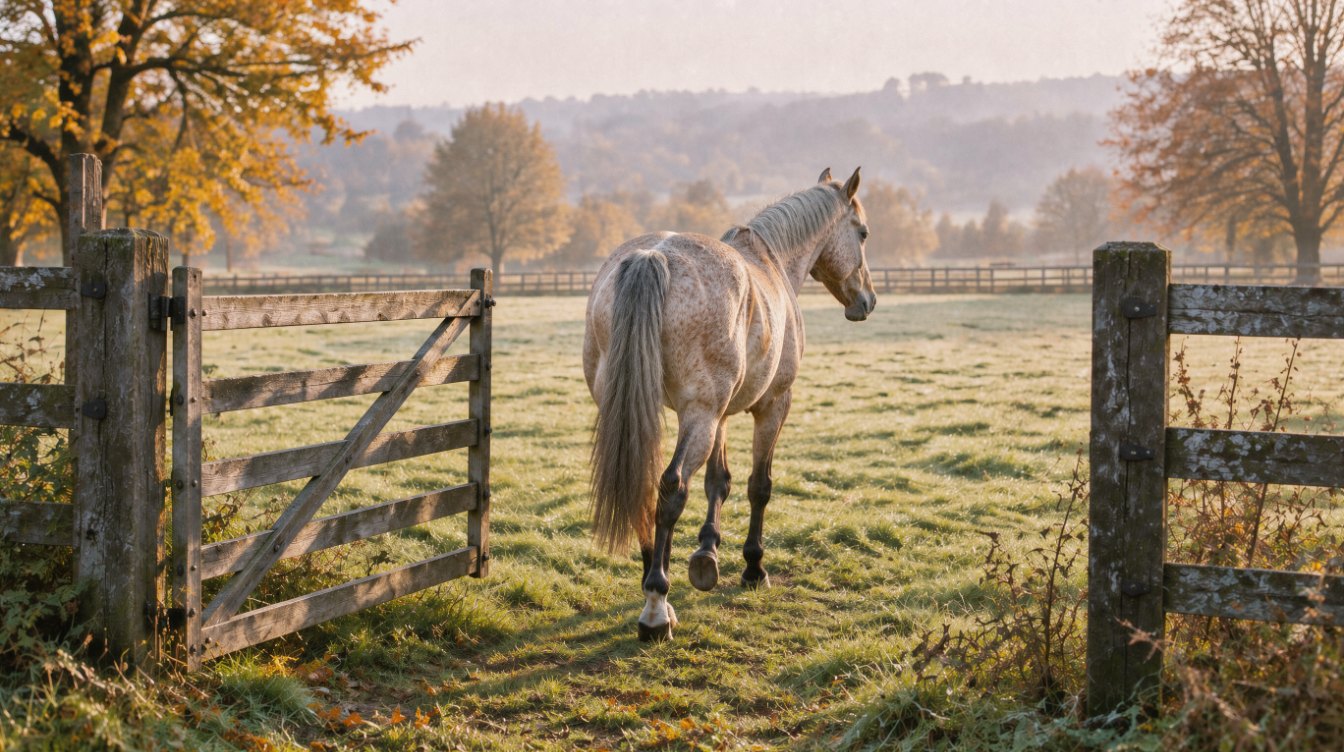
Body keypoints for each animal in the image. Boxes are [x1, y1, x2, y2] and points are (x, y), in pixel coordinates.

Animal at [583, 167, 875, 641]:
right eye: (862, 233)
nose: (866, 300)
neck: (773, 261)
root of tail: (653, 257)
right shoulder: (772, 405)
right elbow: (759, 486)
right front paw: (753, 567)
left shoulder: (717, 415)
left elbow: (717, 481)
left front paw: (707, 554)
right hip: (700, 416)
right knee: (671, 488)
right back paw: (656, 607)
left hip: (658, 414)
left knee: (647, 485)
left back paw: (655, 583)